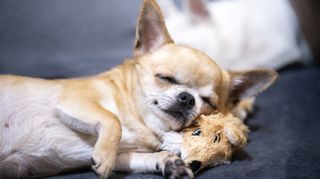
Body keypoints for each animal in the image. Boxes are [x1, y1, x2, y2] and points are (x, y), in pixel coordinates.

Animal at [0, 0, 276, 178]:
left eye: (208, 102)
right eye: (165, 78)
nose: (187, 98)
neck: (141, 122)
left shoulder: (125, 155)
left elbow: (134, 157)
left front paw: (168, 162)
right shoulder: (74, 101)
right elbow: (112, 119)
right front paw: (104, 157)